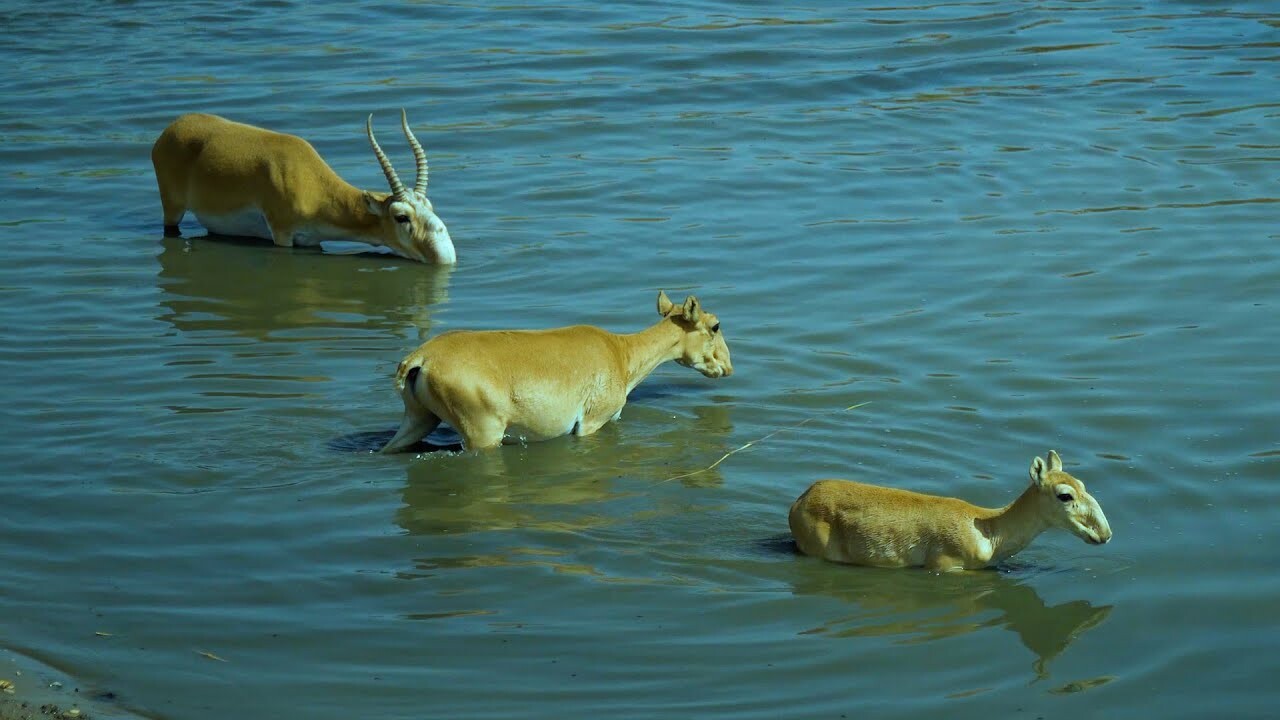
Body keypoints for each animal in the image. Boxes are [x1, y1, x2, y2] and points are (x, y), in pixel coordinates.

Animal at [149, 109, 455, 260]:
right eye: (401, 216)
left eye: (429, 206)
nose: (444, 252)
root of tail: (173, 128)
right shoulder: (283, 235)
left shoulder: (311, 241)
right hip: (172, 208)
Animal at [378, 289, 737, 448]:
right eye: (716, 325)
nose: (728, 367)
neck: (621, 354)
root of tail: (420, 358)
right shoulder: (591, 423)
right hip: (482, 433)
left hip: (418, 420)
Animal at [788, 448, 1111, 571]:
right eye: (1065, 495)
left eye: (1082, 483)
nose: (1104, 534)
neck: (989, 531)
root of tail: (800, 500)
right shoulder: (945, 566)